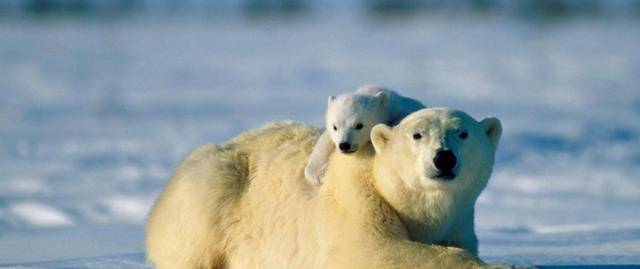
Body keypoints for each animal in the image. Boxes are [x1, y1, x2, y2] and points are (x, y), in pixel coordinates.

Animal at [144, 107, 500, 268]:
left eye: (463, 133)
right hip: (212, 184)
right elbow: (372, 249)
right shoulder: (356, 199)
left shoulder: (459, 221)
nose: (444, 157)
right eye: (417, 135)